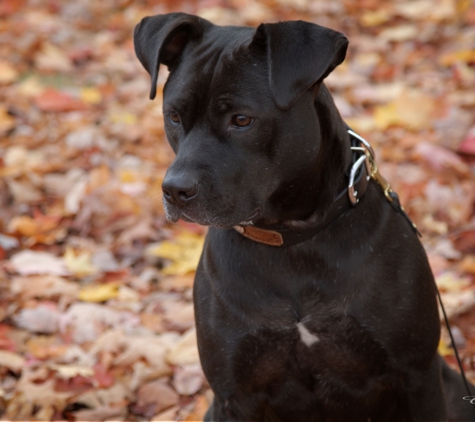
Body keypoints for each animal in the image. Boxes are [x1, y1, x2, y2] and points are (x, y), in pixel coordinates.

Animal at [135, 13, 475, 422]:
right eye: (173, 116)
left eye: (242, 120)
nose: (174, 190)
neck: (291, 238)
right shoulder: (234, 395)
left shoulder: (417, 376)